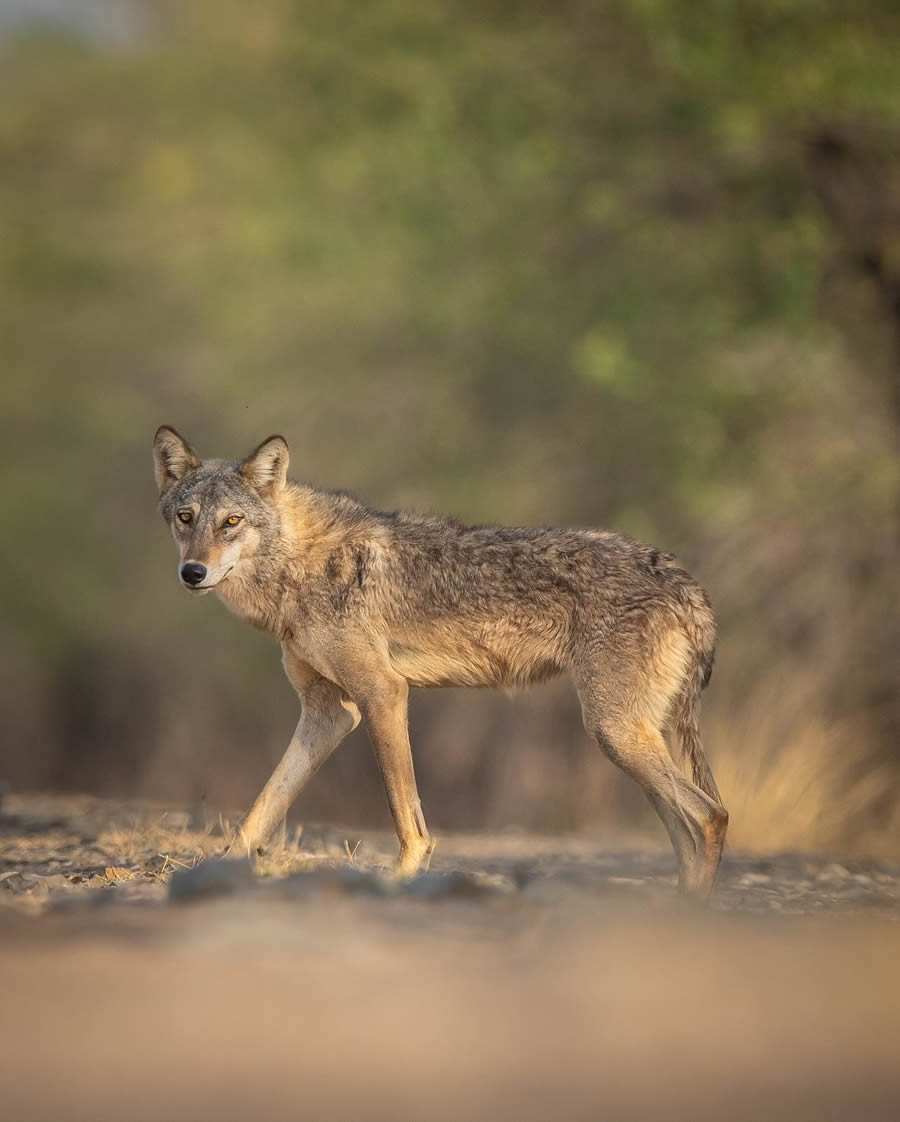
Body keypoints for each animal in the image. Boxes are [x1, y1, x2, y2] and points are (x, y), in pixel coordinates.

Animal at [154, 424, 727, 897]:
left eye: (231, 522)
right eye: (186, 519)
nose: (192, 572)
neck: (298, 569)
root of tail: (687, 582)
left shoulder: (382, 693)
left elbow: (405, 814)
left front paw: (402, 878)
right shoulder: (330, 712)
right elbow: (265, 803)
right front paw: (223, 865)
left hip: (613, 731)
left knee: (710, 817)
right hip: (629, 738)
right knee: (688, 829)